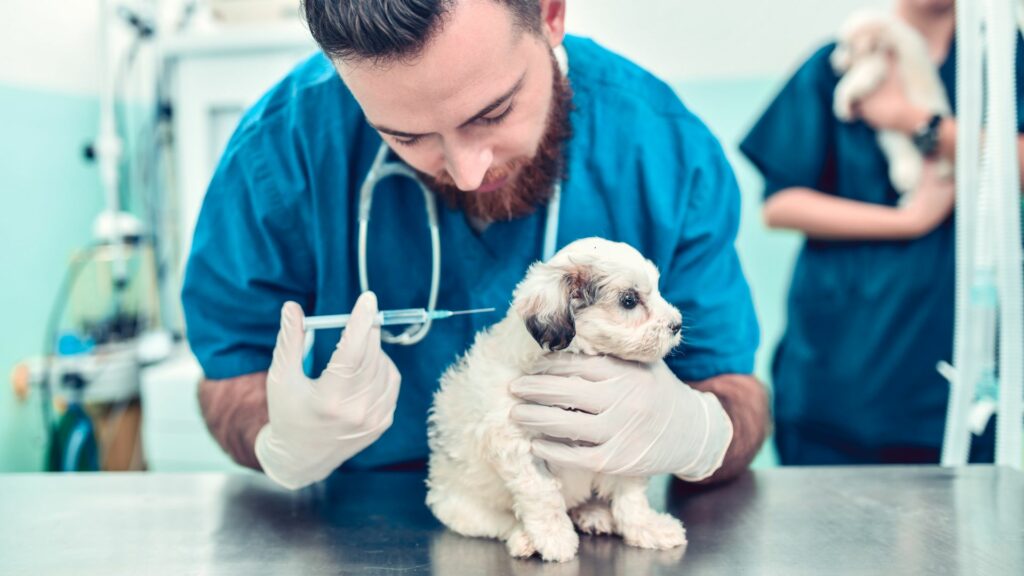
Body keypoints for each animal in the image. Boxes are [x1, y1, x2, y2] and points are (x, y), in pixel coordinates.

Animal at [423, 235, 688, 557]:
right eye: (629, 300)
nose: (677, 324)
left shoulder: (622, 444)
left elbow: (630, 497)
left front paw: (647, 528)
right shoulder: (518, 446)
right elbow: (542, 496)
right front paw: (554, 537)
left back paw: (593, 513)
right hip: (462, 507)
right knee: (499, 521)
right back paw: (524, 537)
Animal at [831, 7, 950, 195]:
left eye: (846, 46)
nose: (831, 64)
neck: (888, 34)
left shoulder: (875, 63)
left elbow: (849, 82)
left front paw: (841, 106)